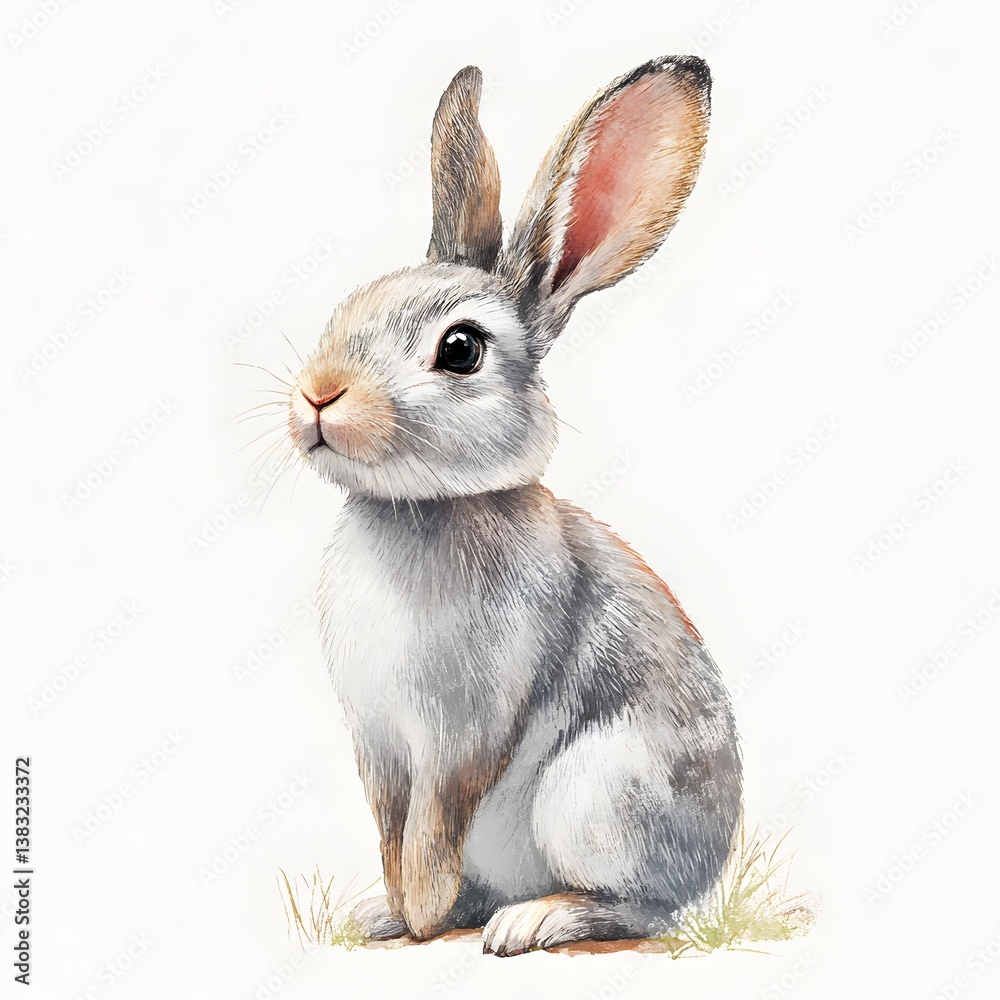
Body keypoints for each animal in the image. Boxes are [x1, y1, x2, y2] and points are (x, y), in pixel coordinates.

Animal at [285, 55, 741, 957]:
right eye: (349, 305)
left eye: (460, 350)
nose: (318, 394)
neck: (425, 508)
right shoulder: (379, 740)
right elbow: (391, 825)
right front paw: (397, 912)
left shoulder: (467, 724)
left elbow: (433, 824)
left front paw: (424, 911)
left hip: (595, 795)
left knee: (639, 907)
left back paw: (533, 920)